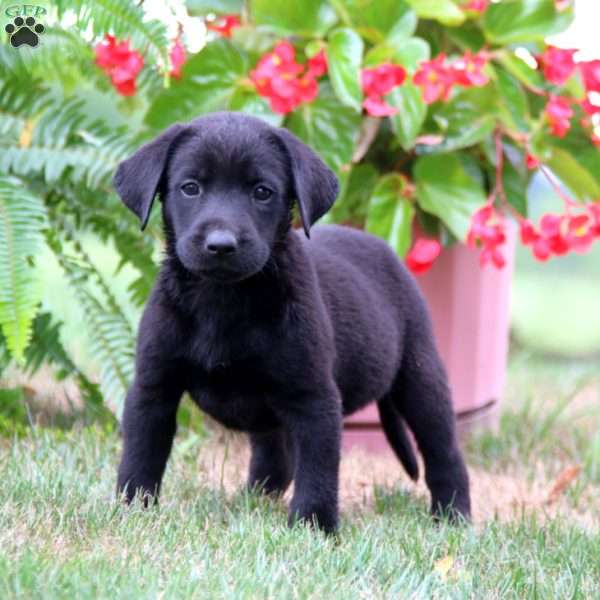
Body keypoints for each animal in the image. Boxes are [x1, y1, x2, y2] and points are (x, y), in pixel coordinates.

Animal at [112, 110, 468, 532]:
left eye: (262, 192)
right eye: (190, 188)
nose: (221, 245)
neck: (223, 300)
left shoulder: (314, 399)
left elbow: (317, 472)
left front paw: (314, 526)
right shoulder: (153, 389)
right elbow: (140, 458)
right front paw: (130, 511)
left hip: (420, 377)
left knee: (444, 453)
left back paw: (454, 516)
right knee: (275, 457)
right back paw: (253, 499)